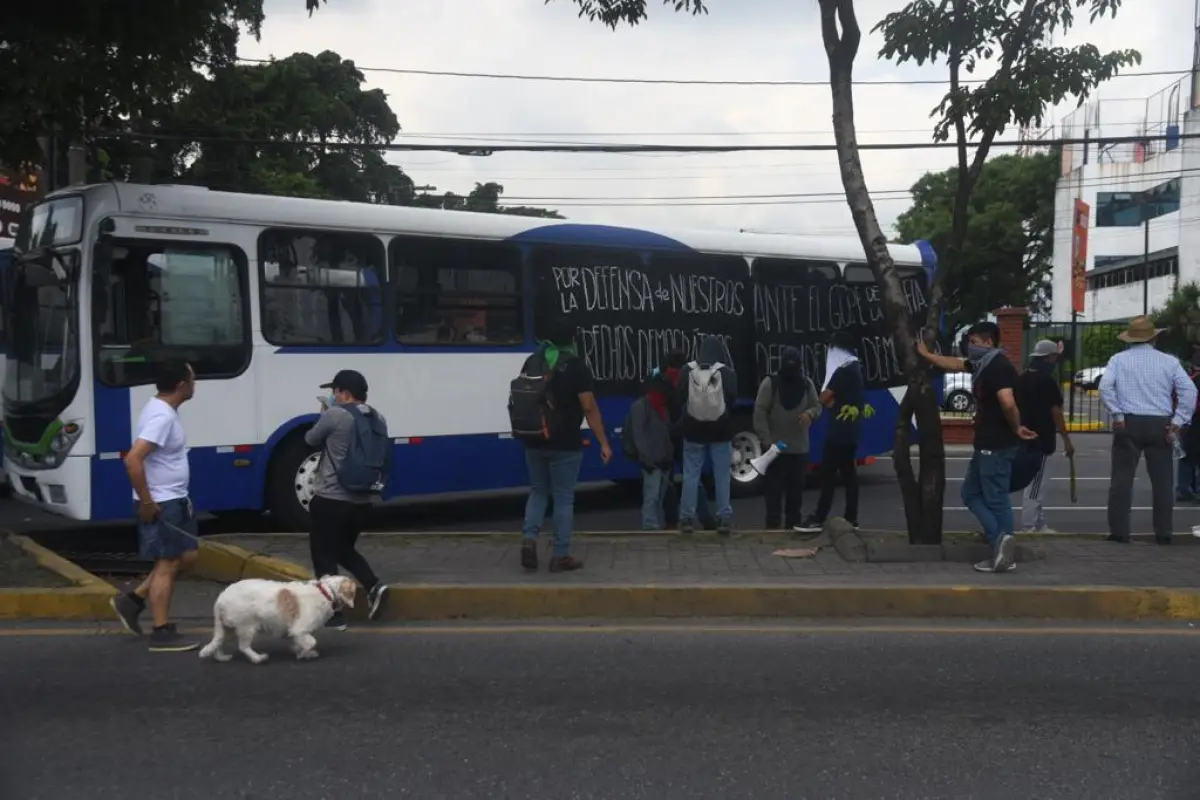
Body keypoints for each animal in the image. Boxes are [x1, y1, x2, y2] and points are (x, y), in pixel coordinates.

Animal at [195, 575, 355, 662]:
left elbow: (300, 643)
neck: (325, 592)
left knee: (218, 642)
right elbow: (311, 642)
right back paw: (258, 658)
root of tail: (221, 598)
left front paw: (301, 652)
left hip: (228, 627)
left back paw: (222, 657)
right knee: (243, 647)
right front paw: (303, 654)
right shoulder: (300, 629)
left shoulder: (296, 632)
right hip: (246, 627)